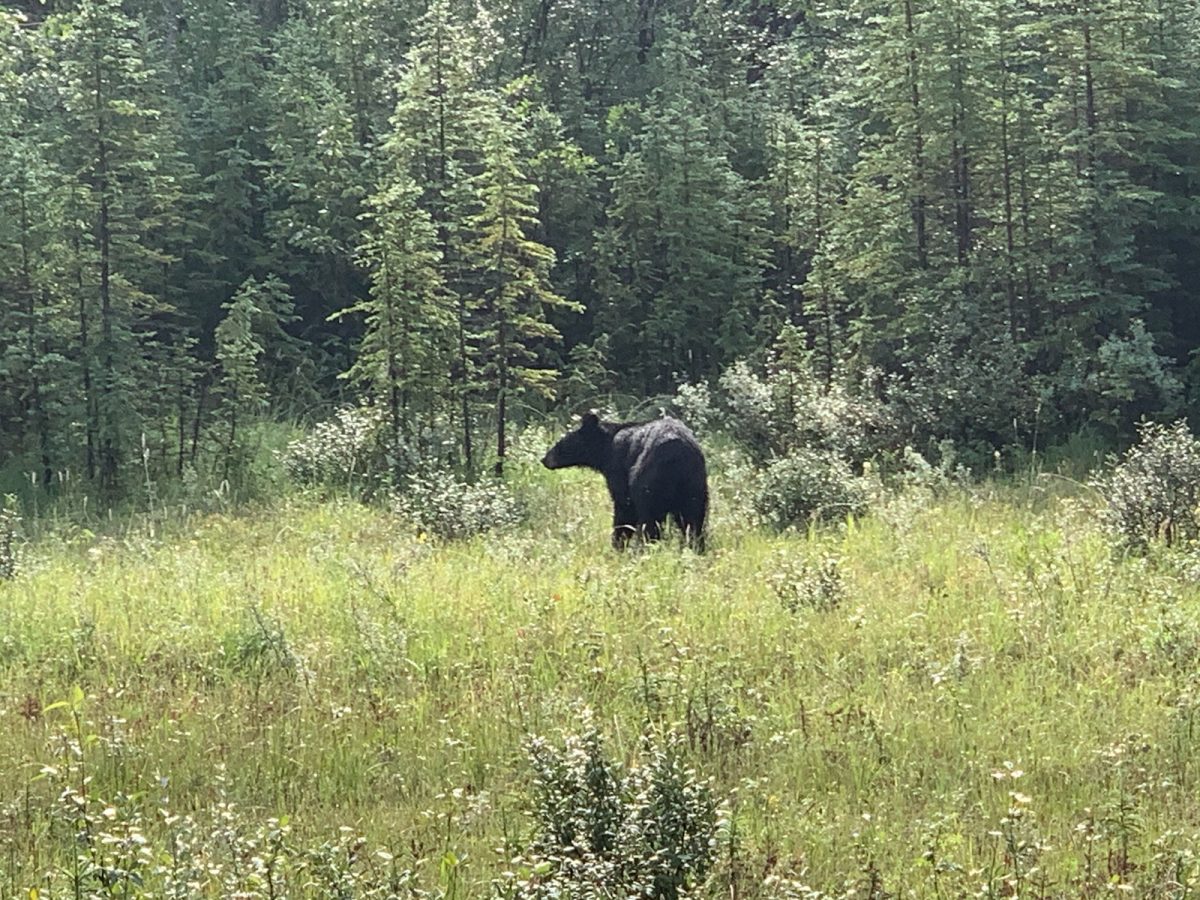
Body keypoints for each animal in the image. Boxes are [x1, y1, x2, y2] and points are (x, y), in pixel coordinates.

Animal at [542, 408, 700, 549]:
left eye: (561, 442)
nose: (544, 459)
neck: (606, 448)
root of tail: (675, 455)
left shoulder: (617, 466)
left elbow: (624, 507)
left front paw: (618, 544)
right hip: (693, 484)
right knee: (693, 521)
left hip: (651, 480)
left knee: (650, 520)